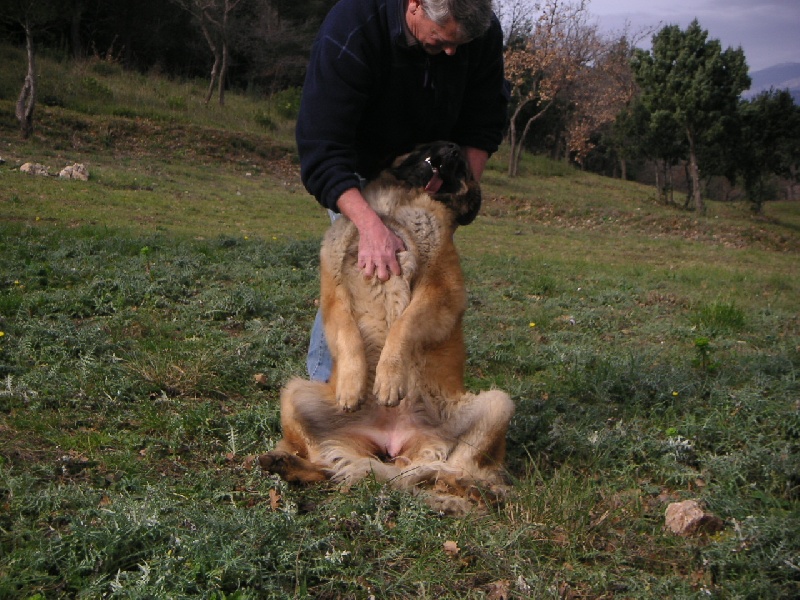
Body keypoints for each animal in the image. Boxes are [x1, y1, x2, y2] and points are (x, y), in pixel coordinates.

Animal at [260, 142, 516, 516]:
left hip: (496, 404)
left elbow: (404, 326)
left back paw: (467, 486)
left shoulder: (440, 290)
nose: (454, 148)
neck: (397, 205)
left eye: (465, 169)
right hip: (294, 395)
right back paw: (286, 464)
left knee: (456, 467)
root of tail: (396, 443)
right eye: (427, 143)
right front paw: (352, 386)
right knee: (324, 465)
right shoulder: (334, 294)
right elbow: (347, 336)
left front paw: (388, 379)